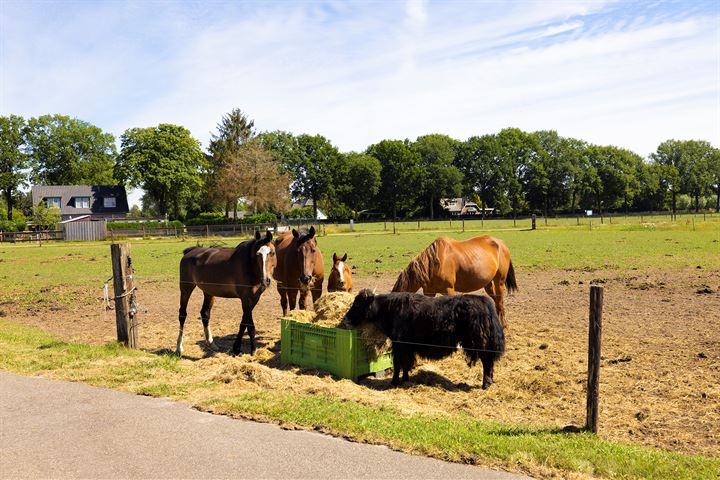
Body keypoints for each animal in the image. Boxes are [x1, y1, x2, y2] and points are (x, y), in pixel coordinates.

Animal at [344, 290, 504, 388]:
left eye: (357, 304)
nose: (346, 319)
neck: (388, 308)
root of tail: (485, 302)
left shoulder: (399, 344)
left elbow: (398, 363)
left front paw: (394, 381)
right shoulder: (407, 347)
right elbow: (406, 363)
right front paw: (405, 379)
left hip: (479, 344)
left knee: (487, 362)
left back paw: (486, 384)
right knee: (490, 362)